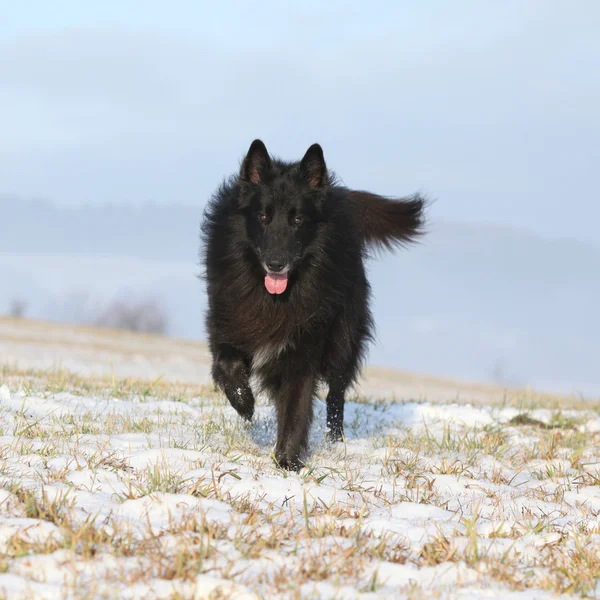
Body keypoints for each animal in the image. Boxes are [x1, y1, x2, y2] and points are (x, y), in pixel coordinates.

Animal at [199, 139, 424, 468]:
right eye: (263, 217)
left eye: (298, 220)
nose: (275, 263)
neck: (276, 299)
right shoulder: (226, 323)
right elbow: (227, 364)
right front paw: (244, 403)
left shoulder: (304, 346)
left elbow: (296, 407)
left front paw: (288, 463)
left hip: (342, 343)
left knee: (336, 394)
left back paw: (335, 440)